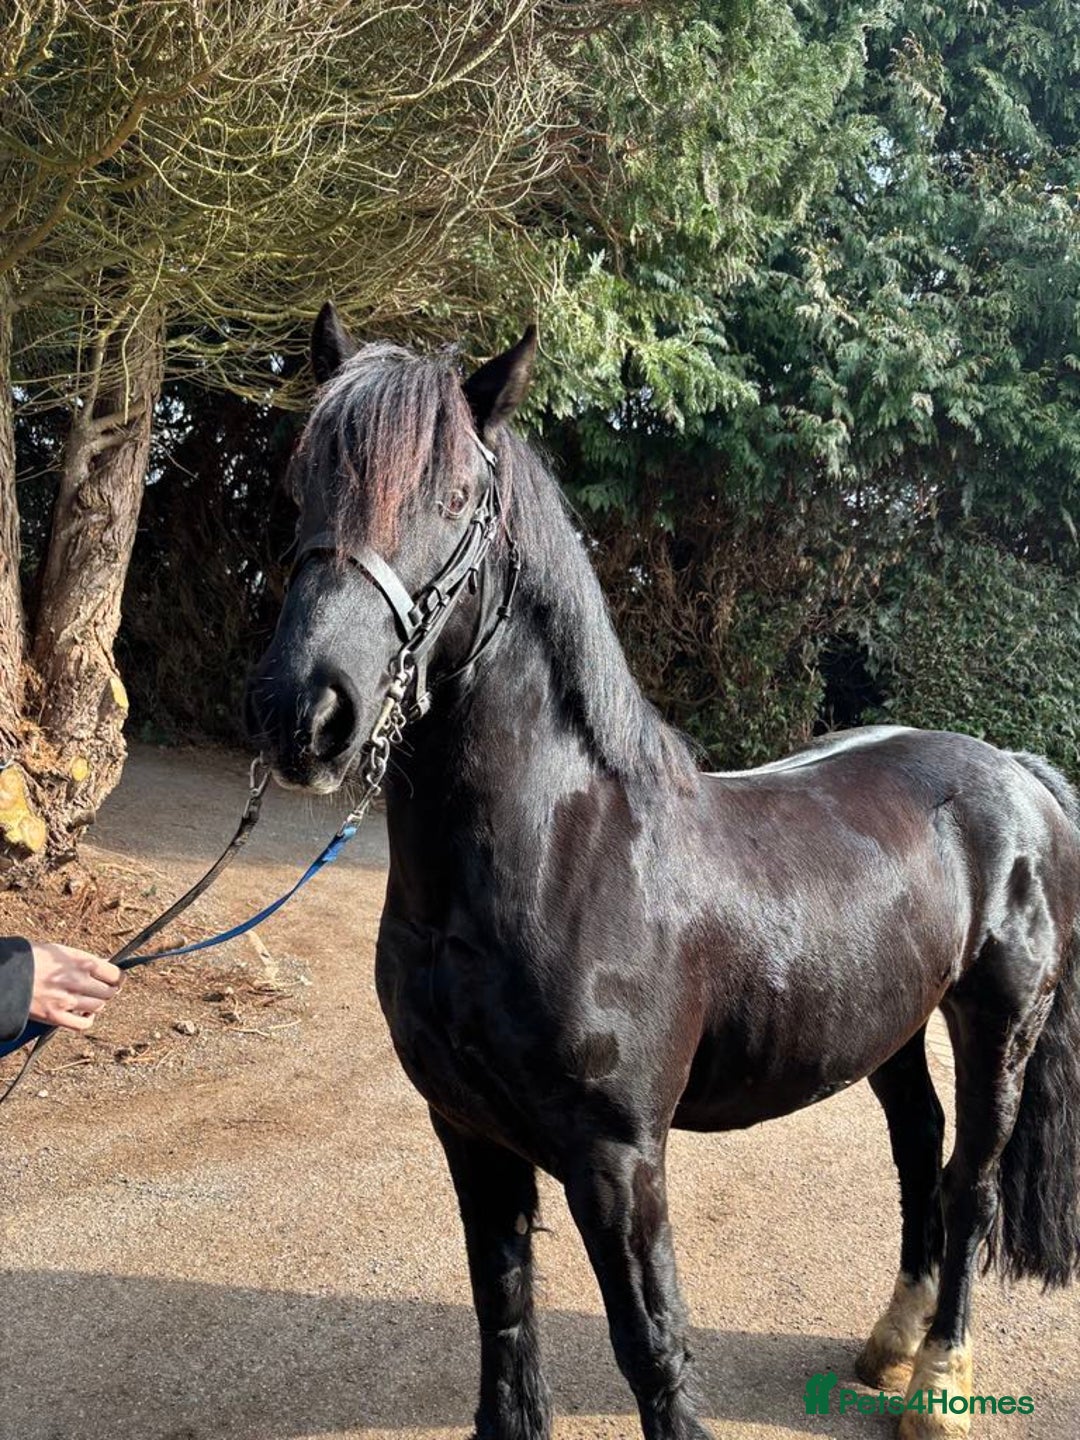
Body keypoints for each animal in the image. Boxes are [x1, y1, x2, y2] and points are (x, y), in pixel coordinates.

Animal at [246, 304, 1080, 1440]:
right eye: (301, 485)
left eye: (453, 498)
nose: (307, 712)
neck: (565, 852)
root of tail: (1016, 771)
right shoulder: (467, 1131)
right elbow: (502, 1315)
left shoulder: (619, 1158)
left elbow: (654, 1350)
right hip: (891, 1025)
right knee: (920, 1152)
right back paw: (891, 1345)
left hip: (998, 1024)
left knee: (972, 1182)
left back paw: (939, 1383)